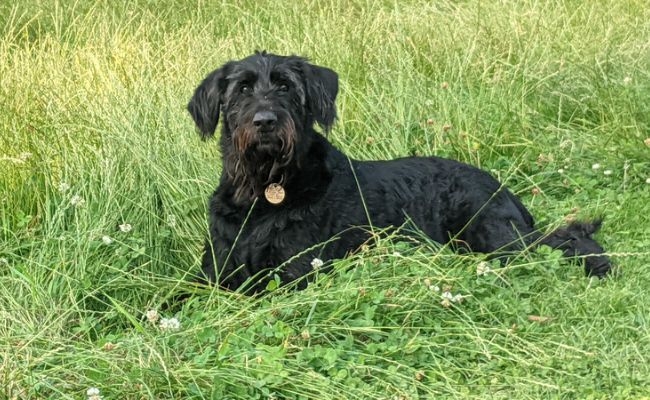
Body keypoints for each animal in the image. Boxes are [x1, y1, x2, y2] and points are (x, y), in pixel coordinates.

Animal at [185, 50, 612, 294]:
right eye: (241, 89)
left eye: (286, 87)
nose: (265, 121)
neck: (265, 189)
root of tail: (504, 189)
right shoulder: (214, 270)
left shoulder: (295, 273)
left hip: (490, 232)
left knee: (561, 242)